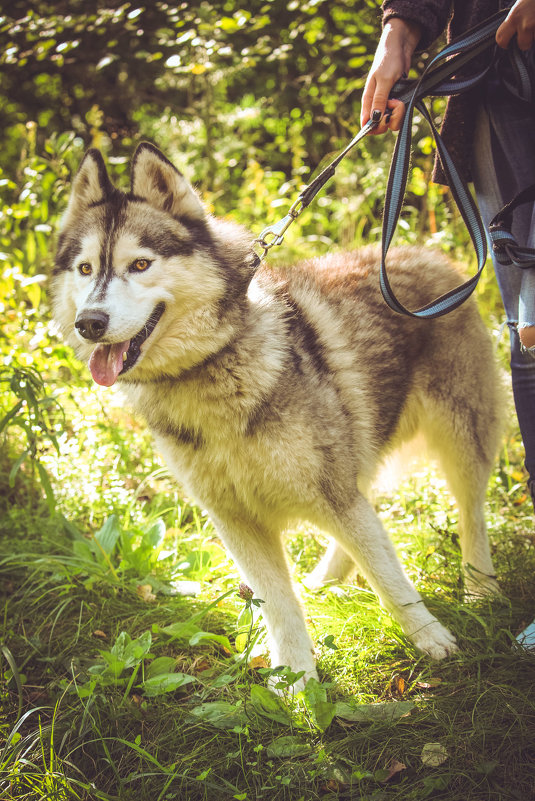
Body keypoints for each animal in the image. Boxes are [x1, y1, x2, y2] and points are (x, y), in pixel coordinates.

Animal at [52, 142, 504, 680]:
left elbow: (390, 578)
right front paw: (296, 680)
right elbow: (281, 604)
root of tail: (428, 252)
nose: (90, 323)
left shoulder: (333, 493)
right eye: (85, 269)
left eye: (140, 264)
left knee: (470, 514)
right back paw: (326, 580)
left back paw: (479, 587)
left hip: (461, 438)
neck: (212, 371)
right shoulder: (235, 519)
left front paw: (431, 638)